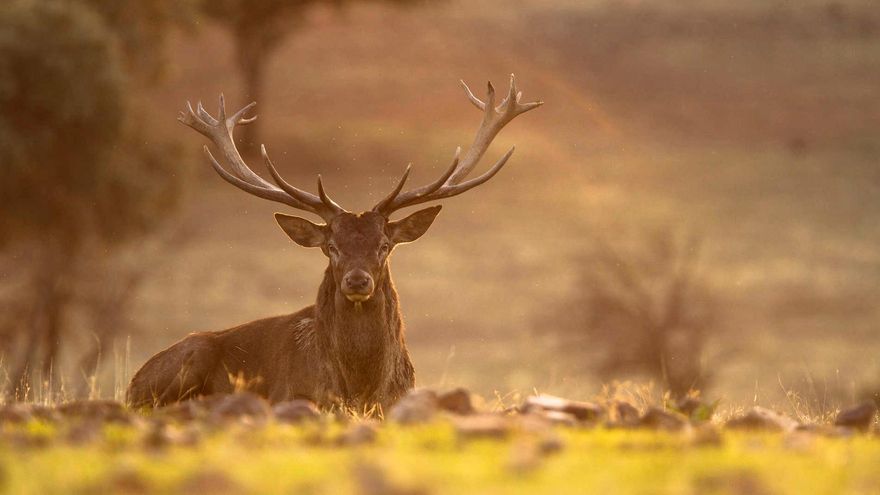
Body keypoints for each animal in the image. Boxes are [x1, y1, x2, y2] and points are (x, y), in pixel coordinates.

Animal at [127, 75, 542, 411]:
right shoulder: (292, 395)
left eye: (384, 245)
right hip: (186, 360)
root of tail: (133, 380)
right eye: (332, 247)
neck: (359, 387)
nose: (357, 281)